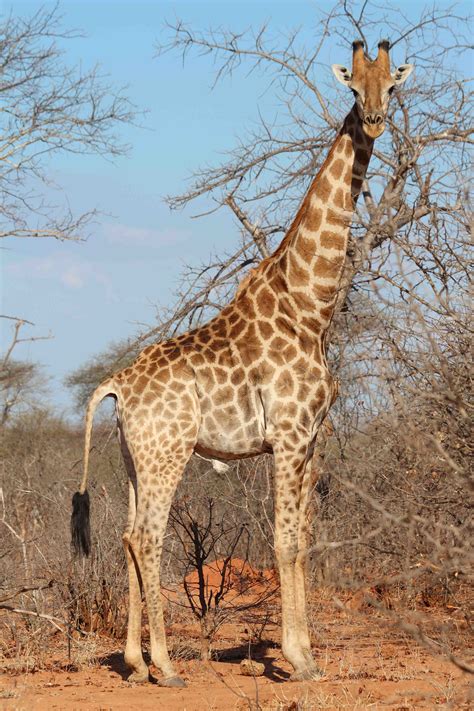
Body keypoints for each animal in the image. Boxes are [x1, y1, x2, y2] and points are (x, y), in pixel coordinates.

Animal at [71, 40, 413, 686]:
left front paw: (306, 655)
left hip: (134, 458)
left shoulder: (312, 437)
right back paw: (165, 666)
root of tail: (116, 384)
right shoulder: (289, 435)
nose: (376, 121)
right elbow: (283, 542)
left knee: (127, 535)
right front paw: (298, 659)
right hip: (169, 452)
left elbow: (301, 538)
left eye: (392, 86)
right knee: (148, 537)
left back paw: (134, 662)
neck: (310, 303)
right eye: (353, 86)